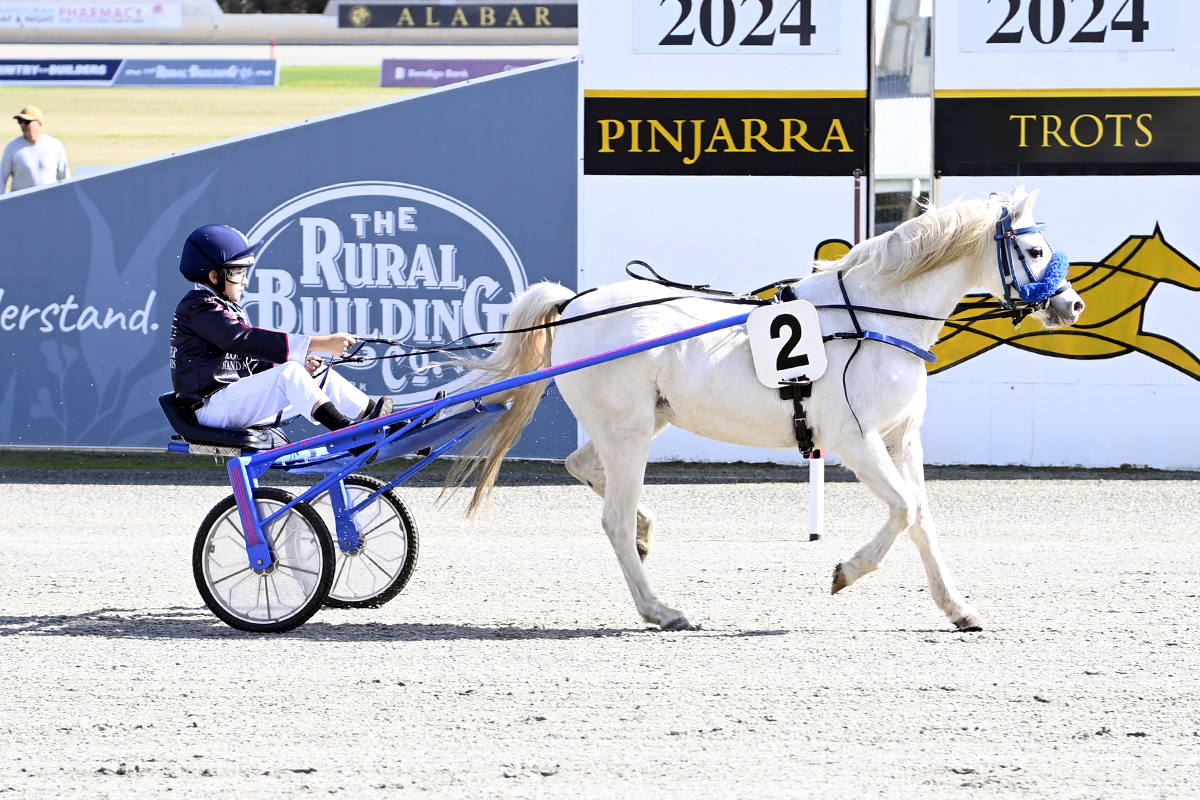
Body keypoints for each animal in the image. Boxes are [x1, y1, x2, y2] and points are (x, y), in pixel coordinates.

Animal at [451, 189, 1089, 633]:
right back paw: (661, 609)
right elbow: (905, 510)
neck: (875, 316)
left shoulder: (903, 439)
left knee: (585, 470)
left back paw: (647, 535)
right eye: (1035, 250)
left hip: (640, 423)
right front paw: (846, 572)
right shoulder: (856, 440)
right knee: (612, 517)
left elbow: (923, 520)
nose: (1072, 305)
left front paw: (959, 609)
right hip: (628, 431)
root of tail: (575, 302)